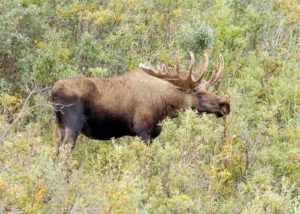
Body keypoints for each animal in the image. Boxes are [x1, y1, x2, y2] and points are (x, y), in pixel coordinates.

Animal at [51, 52, 230, 153]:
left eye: (208, 88)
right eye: (199, 93)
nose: (225, 105)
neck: (165, 107)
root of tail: (53, 93)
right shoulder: (143, 131)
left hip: (61, 127)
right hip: (72, 126)